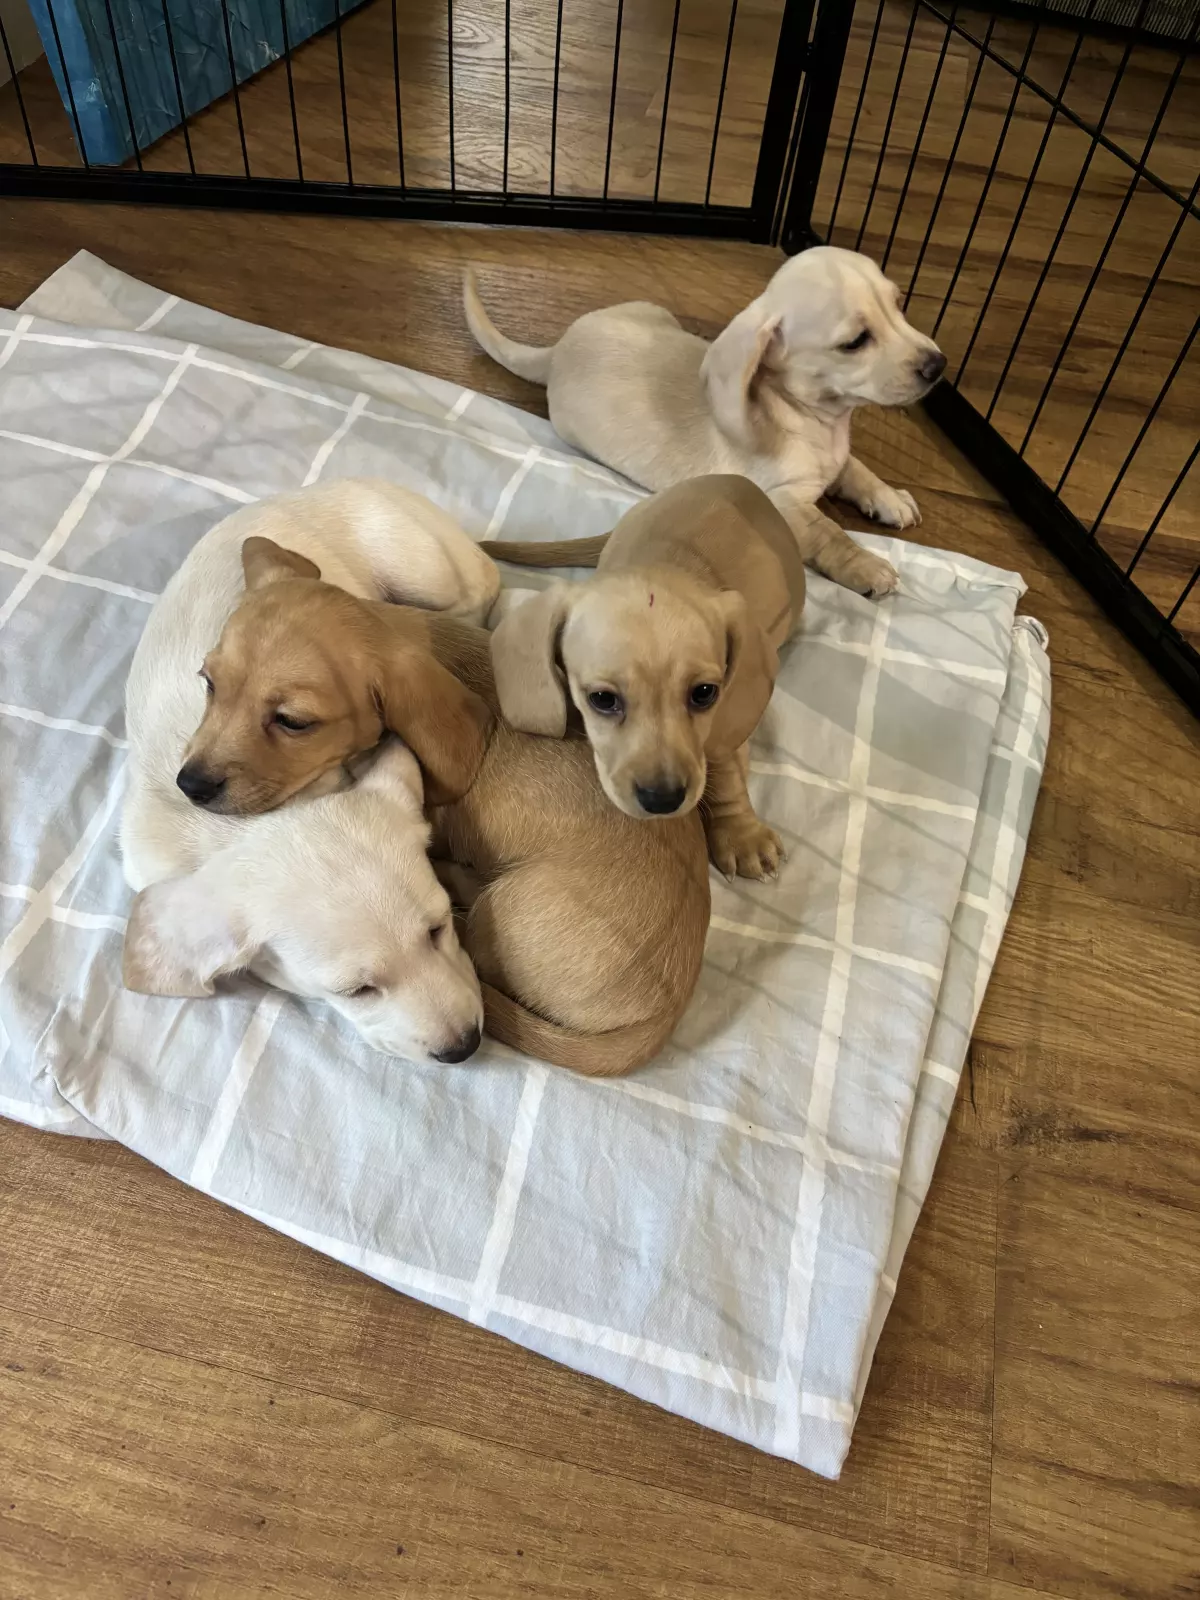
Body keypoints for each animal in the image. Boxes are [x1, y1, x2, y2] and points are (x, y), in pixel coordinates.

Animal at [464, 245, 945, 599]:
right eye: (855, 342)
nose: (937, 365)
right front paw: (864, 565)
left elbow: (855, 469)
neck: (813, 417)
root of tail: (555, 350)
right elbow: (826, 531)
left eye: (898, 306)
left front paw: (888, 498)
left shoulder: (835, 455)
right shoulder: (782, 502)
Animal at [488, 475, 805, 880]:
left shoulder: (726, 724)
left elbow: (724, 764)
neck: (668, 561)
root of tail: (739, 481)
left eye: (704, 693)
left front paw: (741, 833)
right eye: (602, 699)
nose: (663, 800)